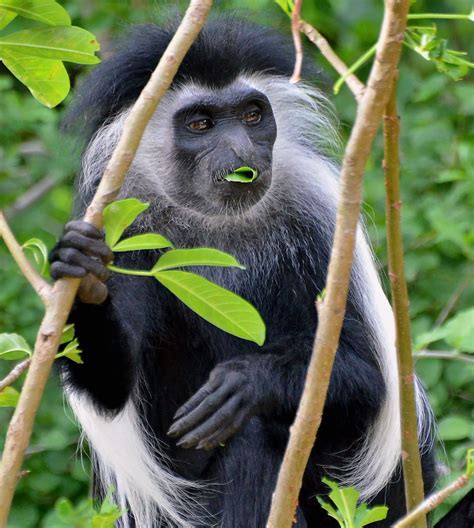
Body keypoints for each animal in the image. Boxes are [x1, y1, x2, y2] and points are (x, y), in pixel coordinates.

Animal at [50, 18, 436, 524]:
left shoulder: (321, 216)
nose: (241, 151)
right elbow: (110, 390)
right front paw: (86, 279)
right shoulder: (123, 230)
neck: (218, 225)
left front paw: (250, 382)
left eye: (252, 115)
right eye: (201, 124)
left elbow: (369, 377)